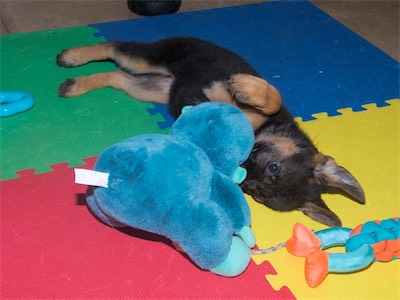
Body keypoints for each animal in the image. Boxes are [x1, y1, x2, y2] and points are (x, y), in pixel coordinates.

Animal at [57, 36, 366, 226]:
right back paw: (72, 56)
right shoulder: (251, 108)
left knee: (118, 76)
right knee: (114, 47)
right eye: (274, 168)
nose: (242, 174)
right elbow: (271, 99)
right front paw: (247, 88)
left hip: (152, 88)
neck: (270, 129)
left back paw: (75, 84)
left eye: (259, 196)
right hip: (153, 57)